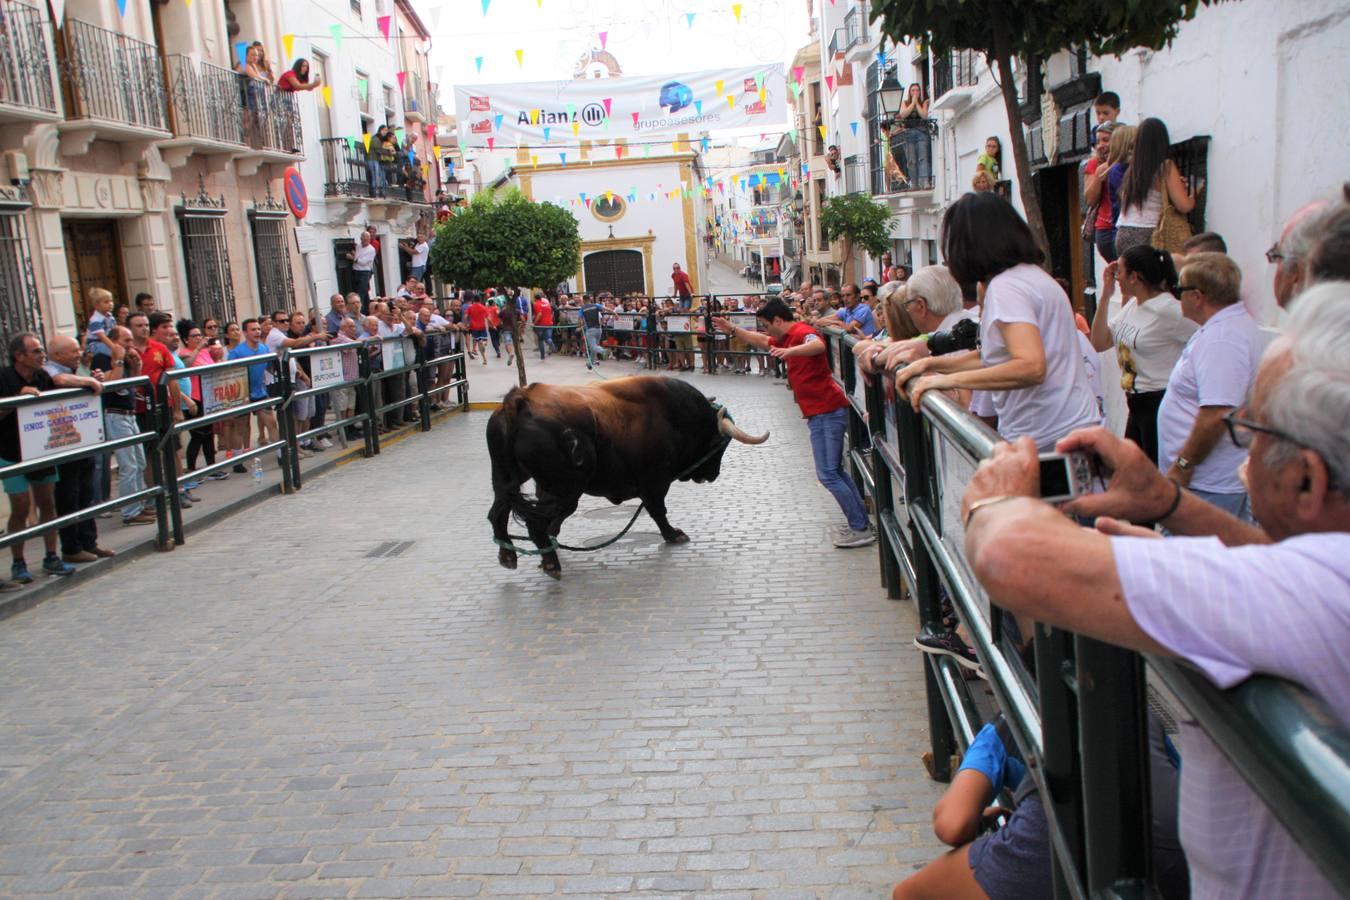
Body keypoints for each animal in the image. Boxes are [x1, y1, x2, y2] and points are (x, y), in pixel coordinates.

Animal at [488, 375, 772, 577]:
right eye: (719, 446)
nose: (713, 475)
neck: (672, 416)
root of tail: (522, 399)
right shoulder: (655, 482)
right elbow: (657, 511)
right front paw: (673, 534)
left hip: (508, 481)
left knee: (498, 514)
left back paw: (509, 555)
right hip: (563, 490)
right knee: (535, 522)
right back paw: (550, 563)